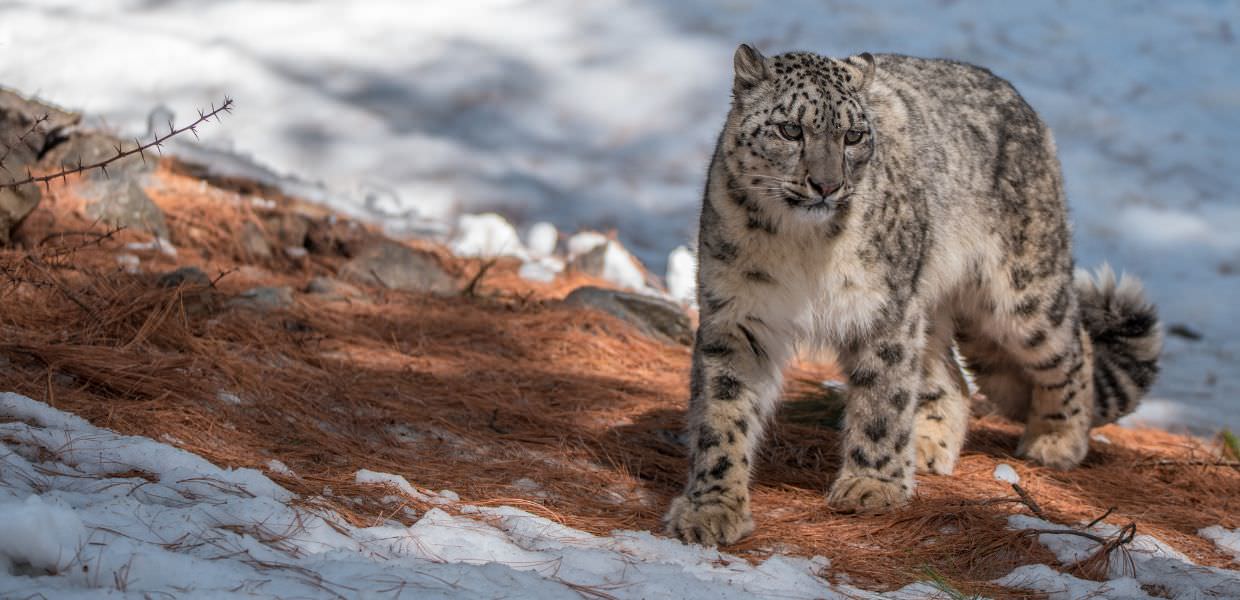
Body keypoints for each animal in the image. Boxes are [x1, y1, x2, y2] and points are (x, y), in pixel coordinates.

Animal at [664, 44, 1162, 546]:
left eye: (854, 135)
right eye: (790, 129)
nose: (826, 185)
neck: (802, 246)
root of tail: (1024, 106)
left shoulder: (884, 310)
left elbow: (883, 400)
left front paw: (873, 485)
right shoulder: (738, 315)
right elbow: (722, 413)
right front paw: (710, 509)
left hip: (1021, 293)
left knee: (1073, 346)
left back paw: (1056, 442)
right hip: (932, 306)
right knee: (952, 378)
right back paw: (925, 447)